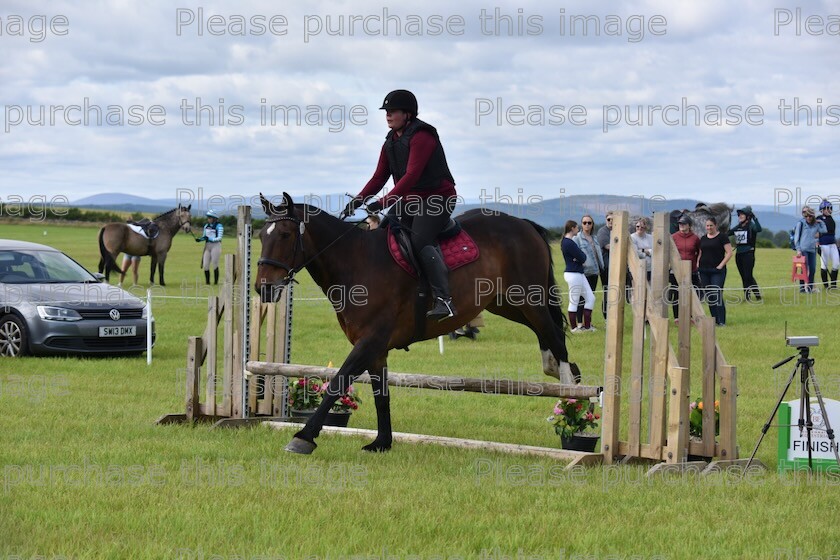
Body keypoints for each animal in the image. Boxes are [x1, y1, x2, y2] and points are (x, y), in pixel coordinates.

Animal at [256, 192, 580, 456]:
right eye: (261, 235)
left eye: (285, 234)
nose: (264, 289)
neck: (355, 262)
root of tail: (524, 224)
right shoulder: (375, 349)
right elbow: (381, 394)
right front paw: (382, 442)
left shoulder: (370, 341)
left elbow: (338, 382)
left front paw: (303, 437)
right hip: (504, 303)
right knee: (546, 333)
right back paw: (563, 372)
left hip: (528, 299)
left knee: (555, 336)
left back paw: (569, 396)